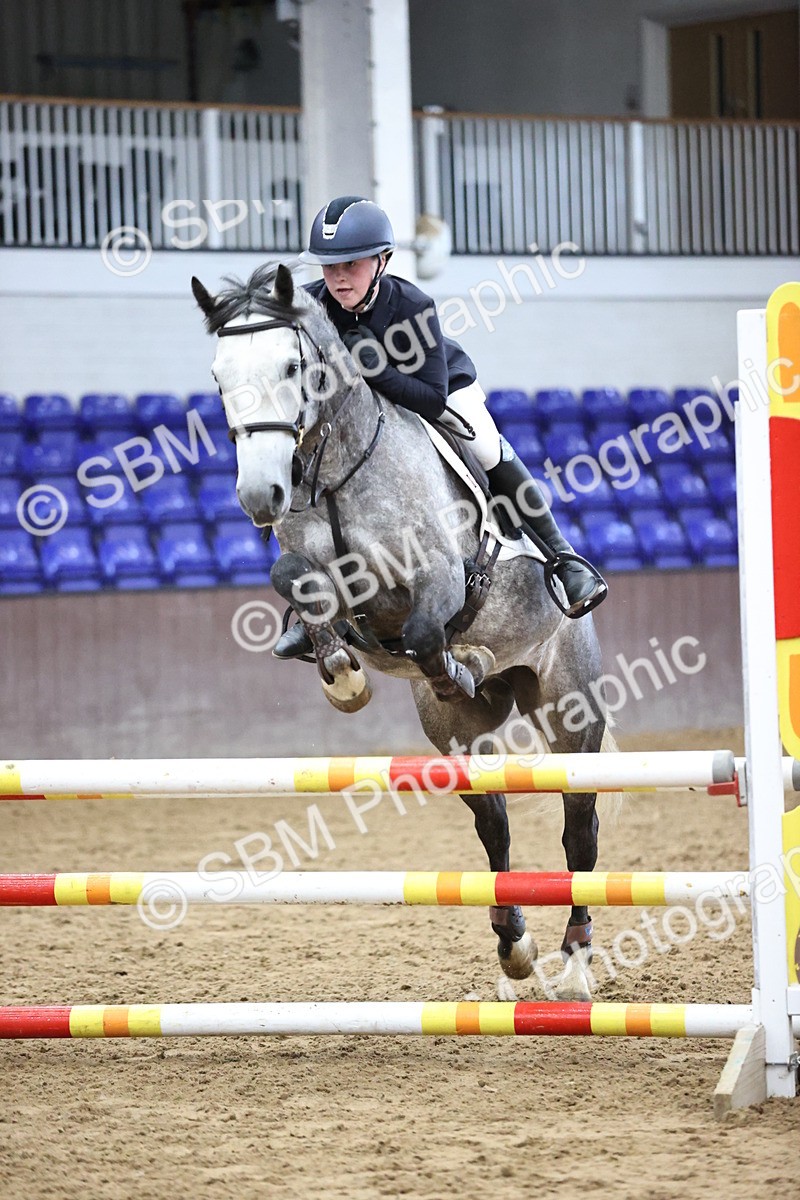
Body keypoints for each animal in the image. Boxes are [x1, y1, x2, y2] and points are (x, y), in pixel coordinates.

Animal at [192, 262, 610, 1002]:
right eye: (218, 376)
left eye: (292, 364)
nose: (260, 495)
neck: (335, 472)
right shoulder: (313, 567)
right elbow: (297, 580)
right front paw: (340, 673)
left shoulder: (439, 578)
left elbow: (421, 629)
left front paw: (454, 659)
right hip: (459, 737)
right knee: (494, 825)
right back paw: (515, 952)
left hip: (571, 711)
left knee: (578, 827)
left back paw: (575, 964)